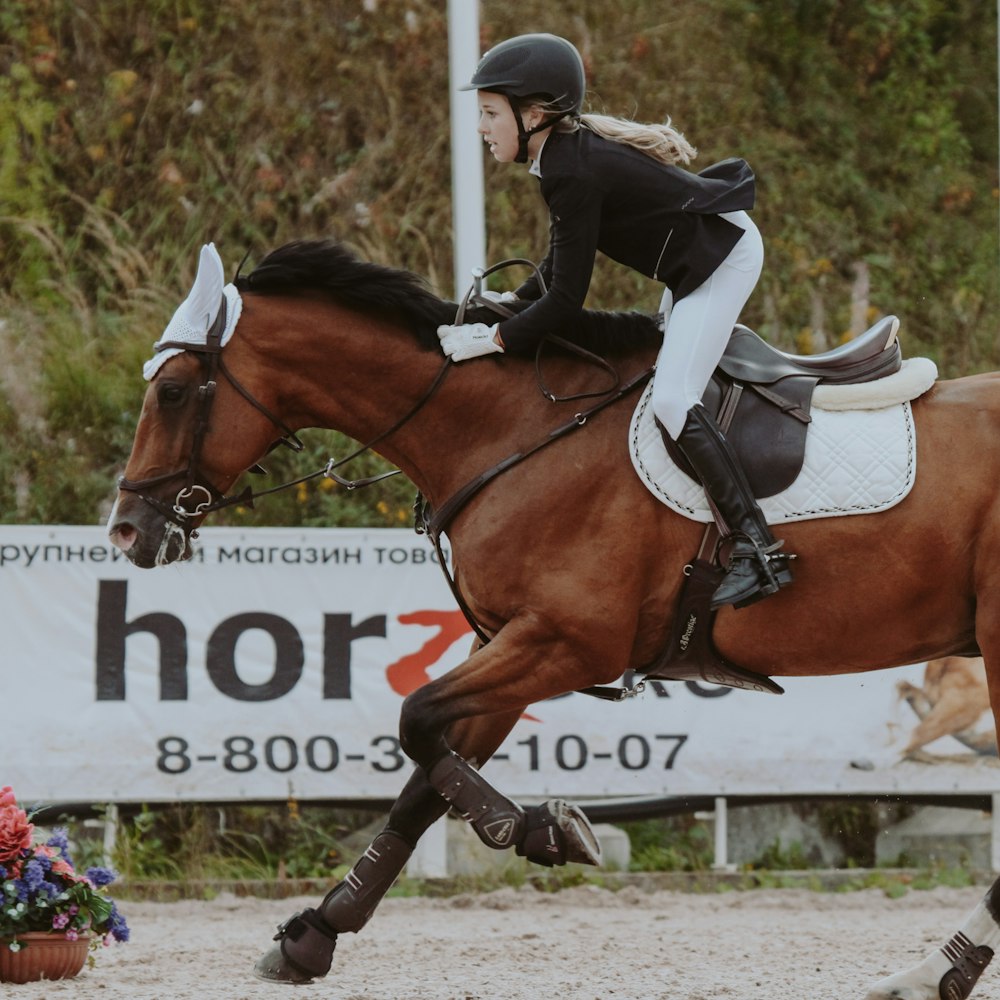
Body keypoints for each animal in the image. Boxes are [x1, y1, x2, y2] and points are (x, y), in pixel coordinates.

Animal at [109, 242, 1000, 1000]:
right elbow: (423, 781)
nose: (126, 532)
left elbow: (416, 721)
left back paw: (931, 972)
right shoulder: (511, 643)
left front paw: (544, 831)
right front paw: (312, 937)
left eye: (174, 390)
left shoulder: (564, 643)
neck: (506, 431)